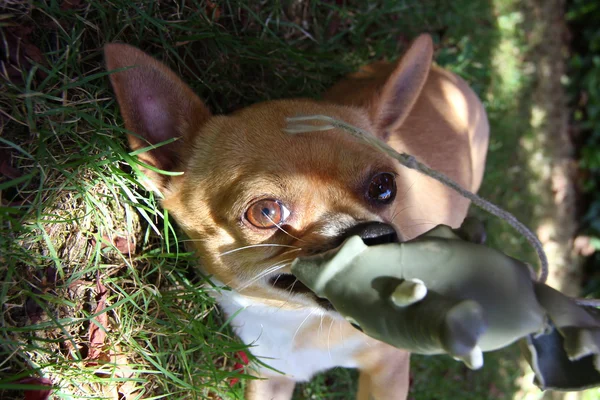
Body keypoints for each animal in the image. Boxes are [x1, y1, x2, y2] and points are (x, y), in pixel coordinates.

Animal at [103, 35, 488, 400]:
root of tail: (448, 77)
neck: (297, 320)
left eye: (384, 186)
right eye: (265, 212)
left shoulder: (389, 371)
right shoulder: (269, 378)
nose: (374, 233)